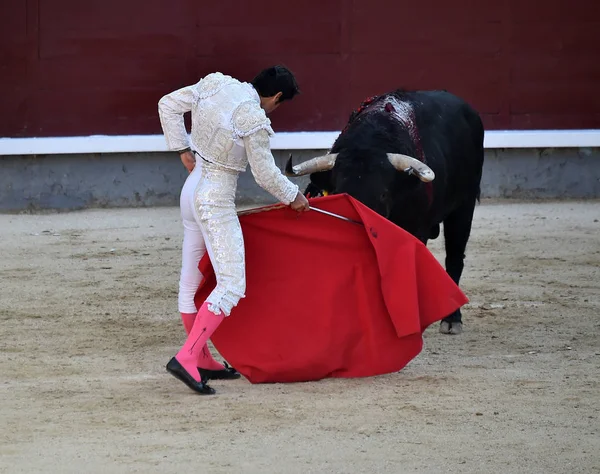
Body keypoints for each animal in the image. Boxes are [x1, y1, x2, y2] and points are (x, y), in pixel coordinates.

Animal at [284, 89, 486, 334]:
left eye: (382, 194)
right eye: (340, 192)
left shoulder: (415, 229)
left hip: (464, 206)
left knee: (455, 257)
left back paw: (451, 319)